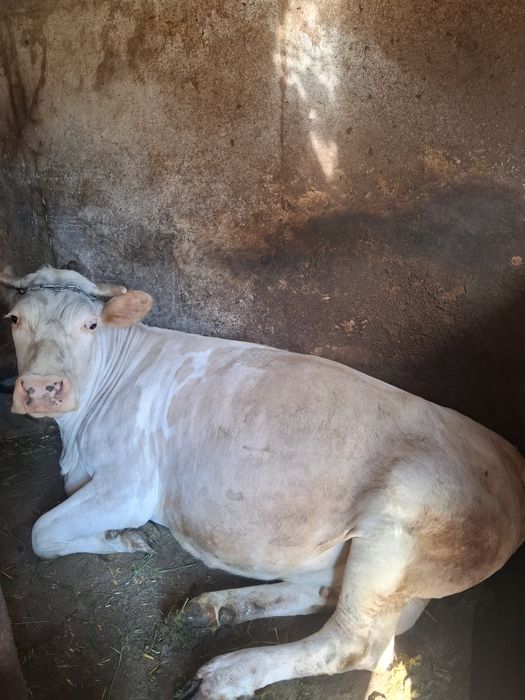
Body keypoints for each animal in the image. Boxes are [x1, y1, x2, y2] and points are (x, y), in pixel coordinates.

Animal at [0, 265, 523, 699]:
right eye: (15, 319)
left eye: (90, 325)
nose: (41, 389)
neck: (77, 435)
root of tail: (508, 457)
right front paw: (119, 536)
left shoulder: (130, 485)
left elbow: (43, 533)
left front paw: (123, 538)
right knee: (329, 594)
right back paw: (214, 609)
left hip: (397, 527)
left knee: (358, 643)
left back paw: (225, 674)